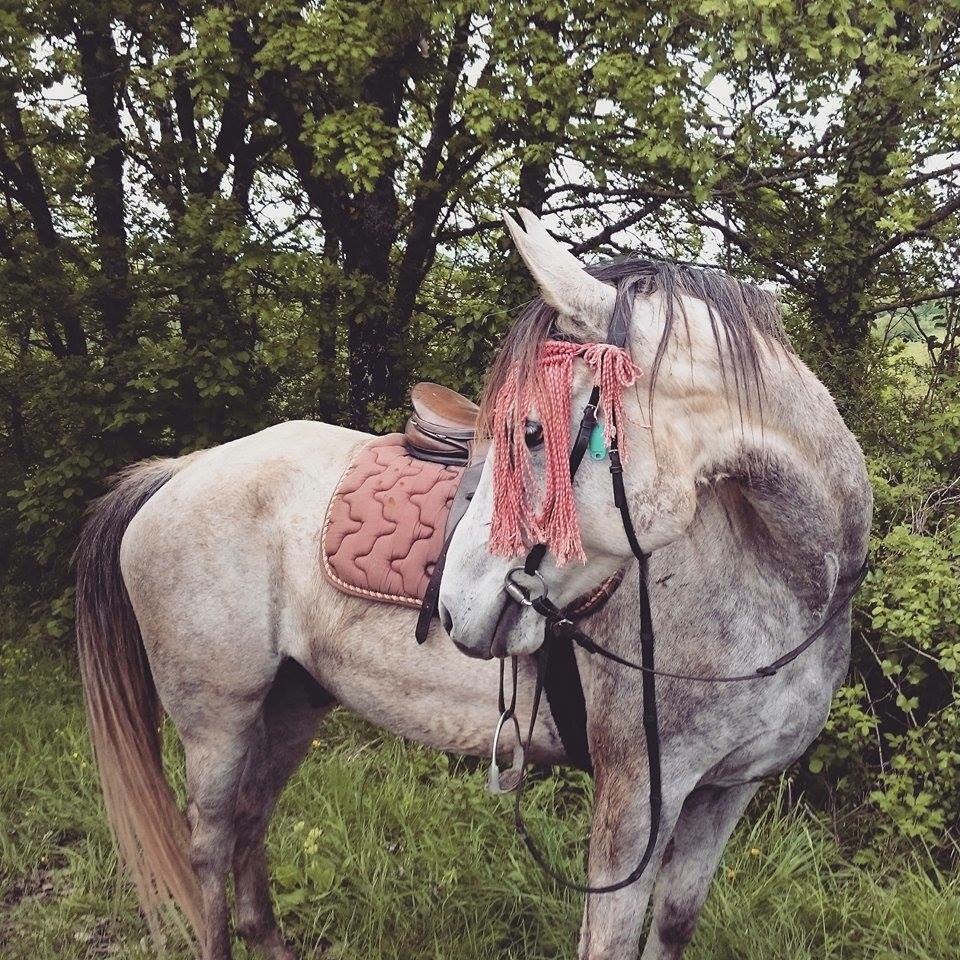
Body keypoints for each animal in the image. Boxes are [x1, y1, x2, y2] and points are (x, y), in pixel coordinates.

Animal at [75, 209, 872, 960]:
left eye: (532, 432)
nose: (455, 606)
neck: (779, 586)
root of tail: (182, 470)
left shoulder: (727, 792)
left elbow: (673, 927)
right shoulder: (639, 802)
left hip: (295, 699)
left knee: (251, 819)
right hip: (217, 714)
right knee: (209, 845)